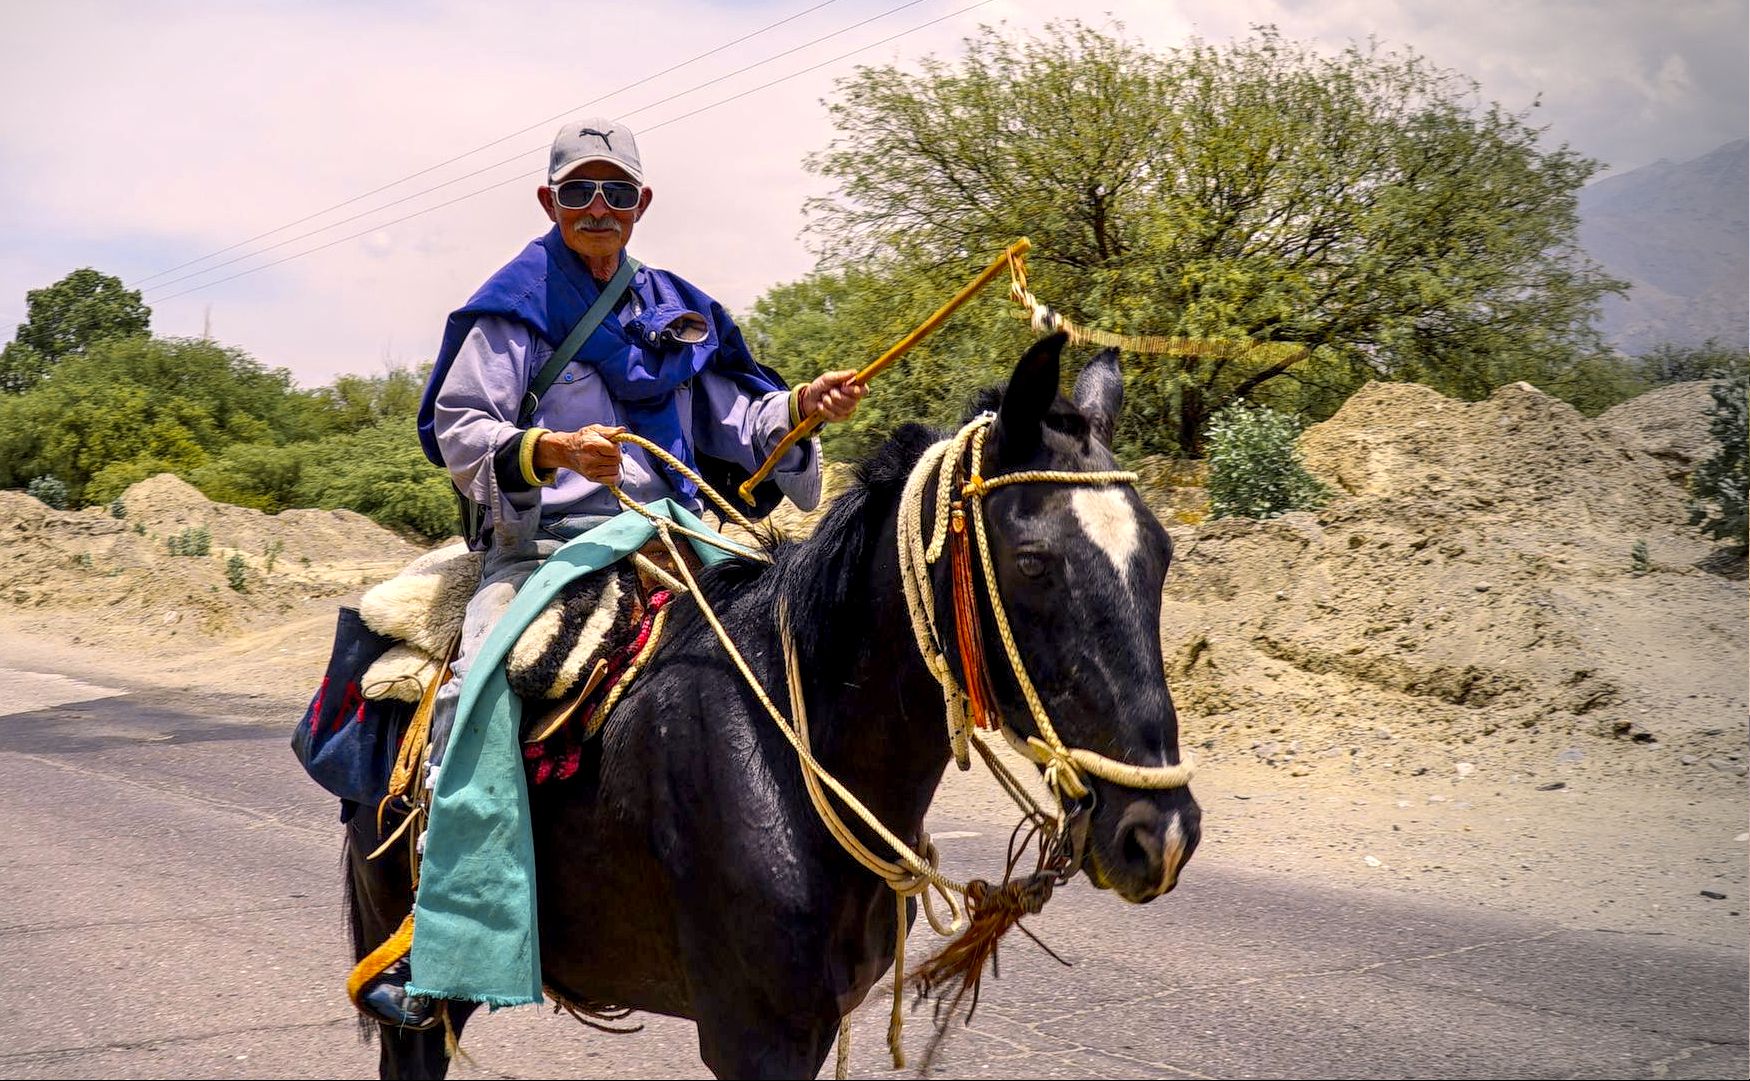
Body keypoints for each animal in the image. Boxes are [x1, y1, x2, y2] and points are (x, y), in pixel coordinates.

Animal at [337, 332, 1204, 1070]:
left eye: (1161, 555)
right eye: (1031, 561)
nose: (1159, 833)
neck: (789, 747)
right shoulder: (755, 1037)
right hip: (413, 984)